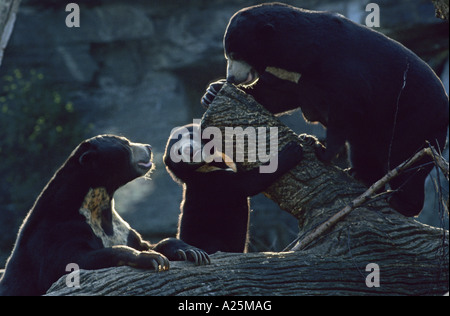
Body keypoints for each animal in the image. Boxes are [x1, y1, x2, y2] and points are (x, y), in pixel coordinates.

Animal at [0, 135, 210, 296]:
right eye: (125, 143)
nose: (148, 147)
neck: (95, 203)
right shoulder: (57, 232)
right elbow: (70, 262)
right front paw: (152, 258)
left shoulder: (120, 229)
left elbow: (146, 242)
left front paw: (192, 251)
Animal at [163, 123, 302, 254]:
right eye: (177, 153)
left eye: (190, 136)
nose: (189, 150)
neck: (207, 165)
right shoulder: (214, 182)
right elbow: (249, 183)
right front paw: (293, 150)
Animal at [202, 2, 448, 218]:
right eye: (227, 55)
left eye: (235, 54)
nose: (232, 78)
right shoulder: (294, 75)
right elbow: (277, 93)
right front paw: (212, 92)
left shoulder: (340, 69)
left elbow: (345, 108)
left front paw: (320, 148)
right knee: (364, 151)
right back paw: (360, 176)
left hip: (413, 118)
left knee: (406, 160)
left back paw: (400, 202)